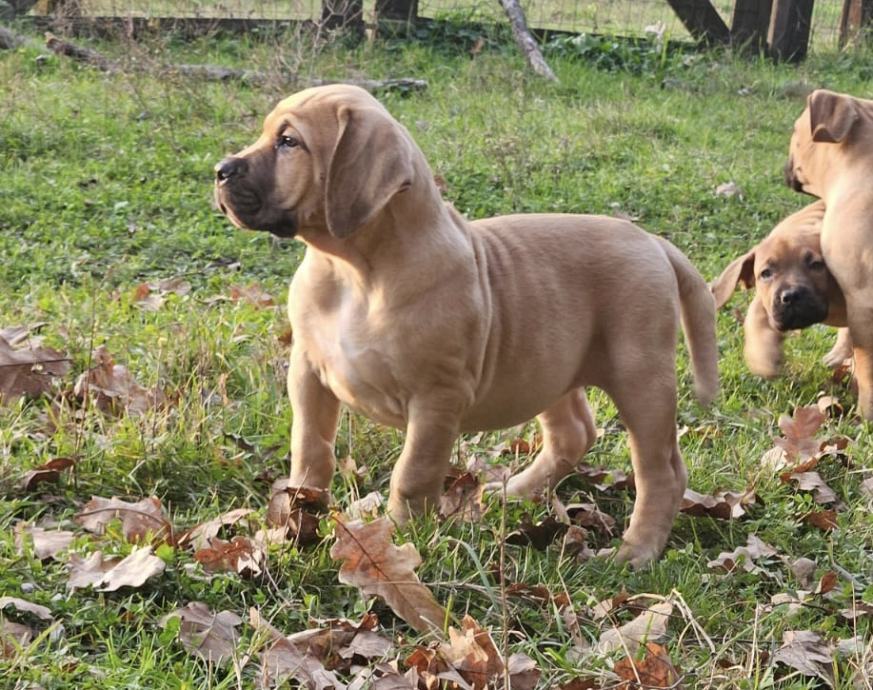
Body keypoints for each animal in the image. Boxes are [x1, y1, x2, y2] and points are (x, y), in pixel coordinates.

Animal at [216, 83, 716, 564]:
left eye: (289, 142)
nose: (221, 169)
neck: (351, 271)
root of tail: (652, 241)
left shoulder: (436, 397)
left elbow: (412, 473)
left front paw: (396, 537)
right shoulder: (309, 373)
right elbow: (310, 449)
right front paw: (298, 517)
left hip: (640, 378)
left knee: (662, 471)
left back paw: (637, 550)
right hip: (546, 366)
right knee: (573, 434)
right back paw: (516, 492)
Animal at [712, 200, 848, 376]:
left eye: (816, 265)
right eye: (766, 273)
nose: (791, 296)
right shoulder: (768, 300)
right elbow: (755, 318)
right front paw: (764, 357)